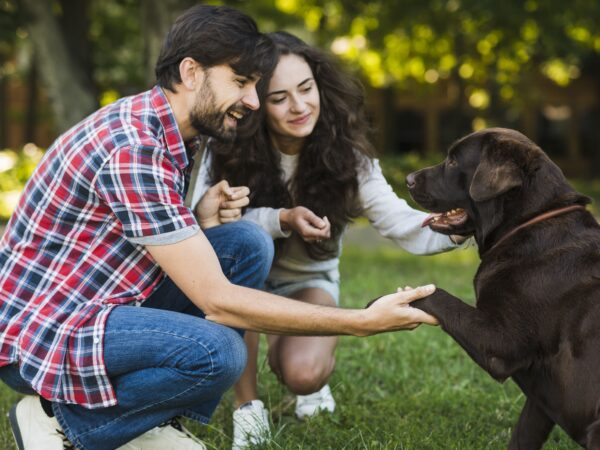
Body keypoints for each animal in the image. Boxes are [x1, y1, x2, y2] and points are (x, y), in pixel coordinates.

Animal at [406, 127, 596, 450]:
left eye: (453, 161)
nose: (407, 179)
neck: (529, 223)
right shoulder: (541, 398)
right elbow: (522, 435)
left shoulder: (503, 343)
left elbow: (438, 296)